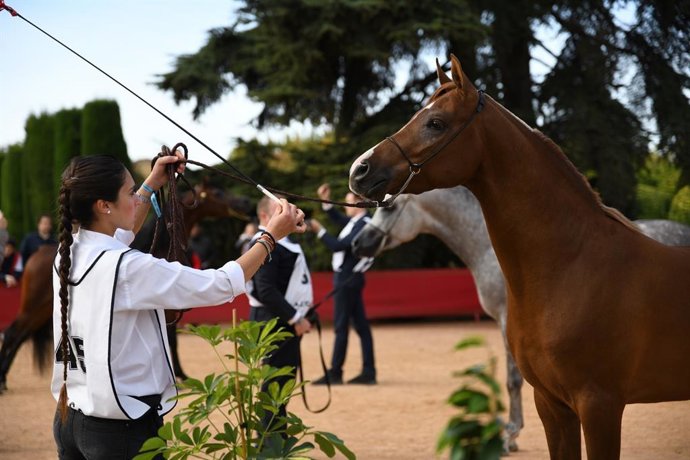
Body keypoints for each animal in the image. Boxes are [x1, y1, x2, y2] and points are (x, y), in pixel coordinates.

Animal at [0, 181, 252, 392]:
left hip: (42, 311)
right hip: (34, 308)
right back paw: (2, 381)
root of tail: (35, 256)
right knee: (13, 333)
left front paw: (181, 375)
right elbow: (171, 342)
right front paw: (180, 377)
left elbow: (173, 342)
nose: (245, 203)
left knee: (19, 336)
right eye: (218, 193)